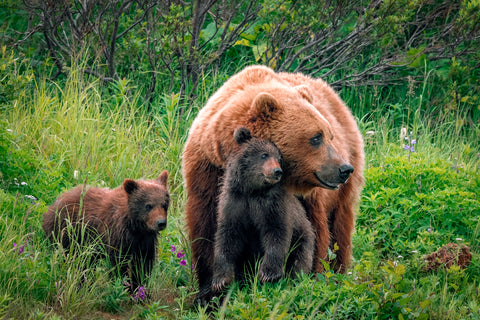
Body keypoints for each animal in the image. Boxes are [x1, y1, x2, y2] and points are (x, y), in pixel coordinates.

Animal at [42, 171, 171, 288]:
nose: (161, 223)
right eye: (148, 205)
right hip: (67, 232)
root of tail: (54, 203)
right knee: (72, 259)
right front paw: (123, 286)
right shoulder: (116, 235)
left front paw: (139, 287)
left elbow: (143, 264)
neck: (135, 226)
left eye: (164, 204)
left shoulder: (145, 240)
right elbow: (119, 263)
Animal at [214, 127, 316, 292]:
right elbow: (227, 236)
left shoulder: (273, 205)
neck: (252, 190)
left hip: (303, 237)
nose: (277, 171)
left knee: (299, 260)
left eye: (279, 158)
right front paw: (220, 280)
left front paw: (268, 274)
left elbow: (277, 232)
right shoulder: (234, 203)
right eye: (264, 154)